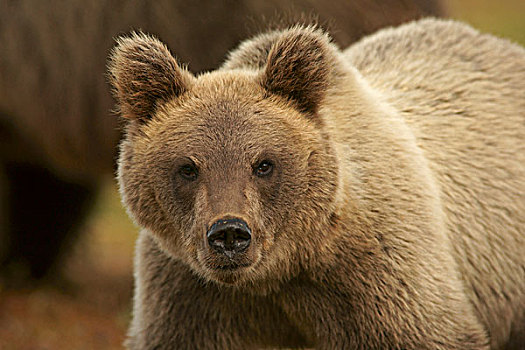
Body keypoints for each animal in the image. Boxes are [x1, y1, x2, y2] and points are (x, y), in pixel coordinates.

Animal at [107, 18, 524, 350]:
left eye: (264, 164)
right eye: (188, 168)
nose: (229, 233)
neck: (279, 273)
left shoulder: (381, 274)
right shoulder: (189, 293)